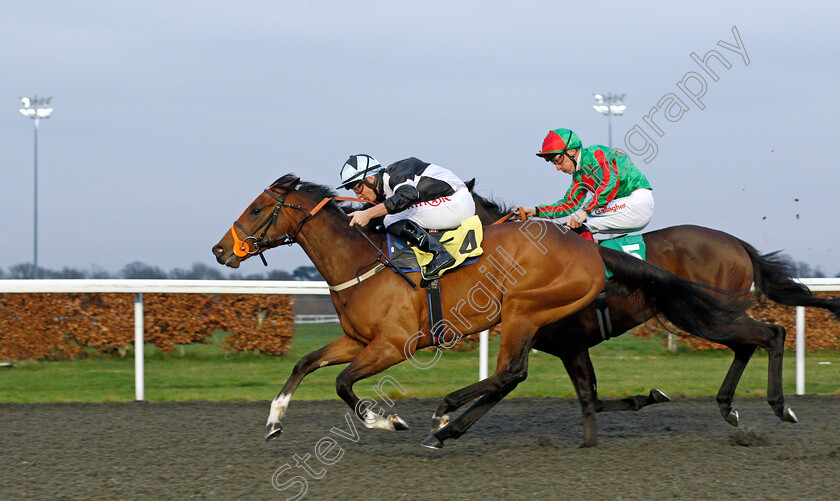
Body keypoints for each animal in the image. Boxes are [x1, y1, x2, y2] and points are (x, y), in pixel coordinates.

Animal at [210, 175, 740, 446]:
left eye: (256, 209)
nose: (220, 250)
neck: (364, 264)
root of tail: (592, 253)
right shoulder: (359, 340)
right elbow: (305, 362)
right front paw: (274, 419)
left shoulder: (394, 345)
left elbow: (342, 384)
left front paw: (387, 421)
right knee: (515, 376)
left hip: (523, 309)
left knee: (510, 373)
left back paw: (444, 416)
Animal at [466, 187, 840, 446]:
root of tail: (736, 243)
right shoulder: (568, 346)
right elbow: (587, 398)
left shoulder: (566, 342)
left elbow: (571, 394)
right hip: (707, 315)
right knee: (747, 345)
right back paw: (726, 406)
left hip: (704, 314)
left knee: (772, 334)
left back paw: (780, 406)